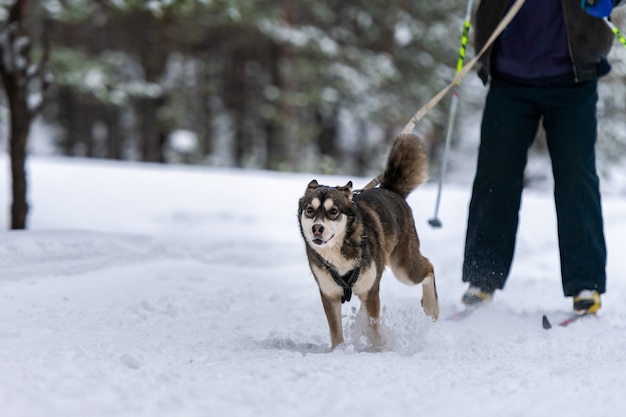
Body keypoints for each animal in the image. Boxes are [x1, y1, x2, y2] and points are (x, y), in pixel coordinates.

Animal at [298, 133, 438, 348]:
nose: (317, 228)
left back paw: (432, 308)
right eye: (310, 210)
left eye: (333, 211)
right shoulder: (329, 294)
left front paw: (378, 348)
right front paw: (339, 351)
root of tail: (391, 191)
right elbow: (336, 331)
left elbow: (373, 327)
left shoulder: (371, 291)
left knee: (429, 267)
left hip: (404, 269)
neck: (340, 250)